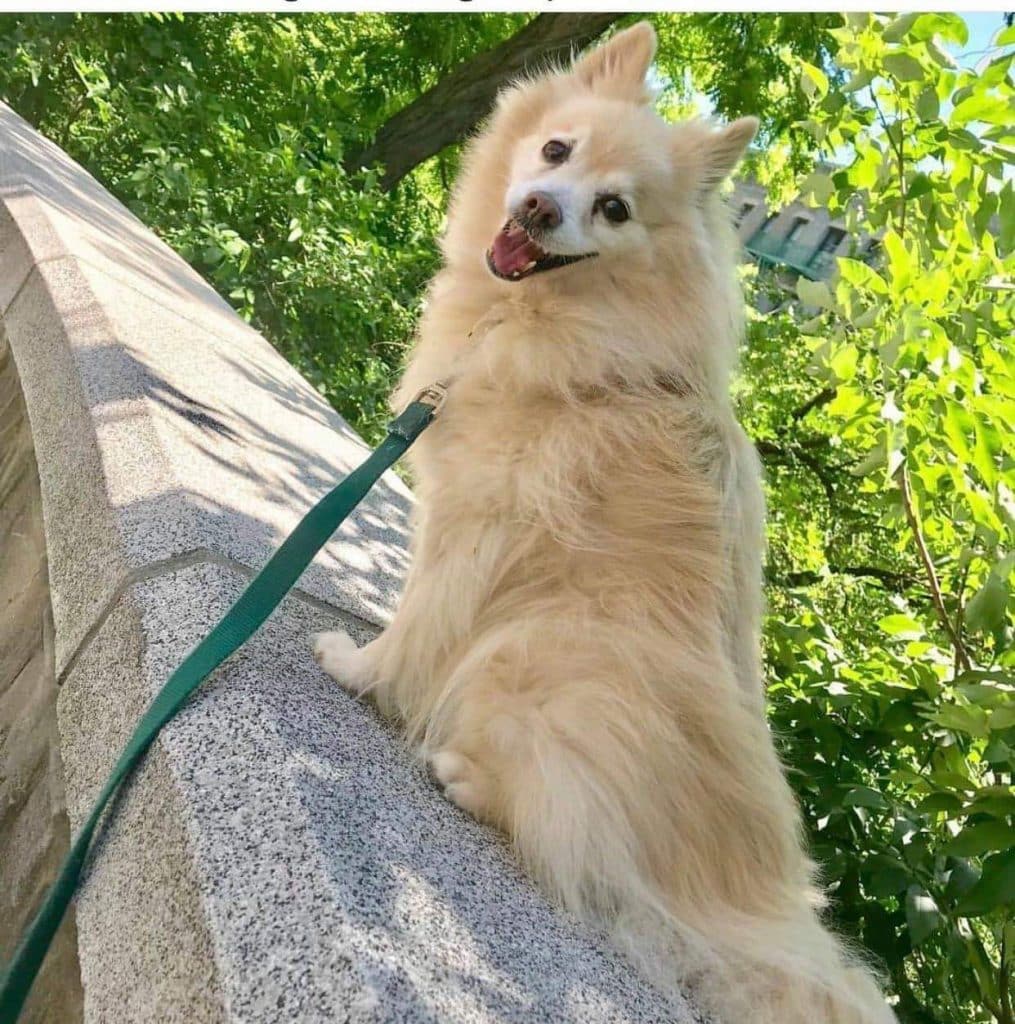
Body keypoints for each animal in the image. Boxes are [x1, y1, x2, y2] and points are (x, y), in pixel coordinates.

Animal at [315, 22, 896, 1024]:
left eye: (615, 209)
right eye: (555, 151)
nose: (541, 208)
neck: (545, 316)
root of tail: (747, 910)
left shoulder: (477, 526)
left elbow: (419, 627)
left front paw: (359, 671)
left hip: (537, 654)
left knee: (584, 851)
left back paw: (462, 774)